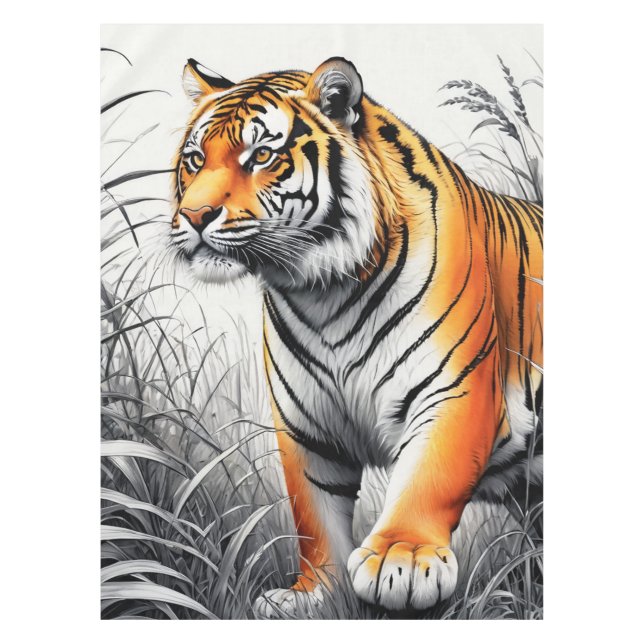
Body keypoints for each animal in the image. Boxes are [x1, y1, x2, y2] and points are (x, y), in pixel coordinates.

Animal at [169, 56, 543, 616]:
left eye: (262, 156)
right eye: (194, 159)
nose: (194, 216)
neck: (324, 295)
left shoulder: (455, 390)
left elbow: (428, 478)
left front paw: (402, 561)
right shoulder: (306, 424)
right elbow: (314, 513)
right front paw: (316, 595)